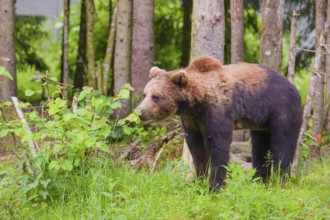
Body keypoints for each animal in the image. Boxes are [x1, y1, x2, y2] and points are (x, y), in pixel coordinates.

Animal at [135, 55, 302, 192]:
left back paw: (280, 183)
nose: (140, 112)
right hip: (261, 122)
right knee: (260, 147)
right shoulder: (192, 120)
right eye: (145, 94)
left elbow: (219, 146)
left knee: (283, 145)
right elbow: (197, 150)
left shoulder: (218, 111)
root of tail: (294, 87)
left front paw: (215, 187)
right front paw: (198, 182)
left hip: (281, 110)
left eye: (156, 96)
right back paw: (258, 181)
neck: (197, 103)